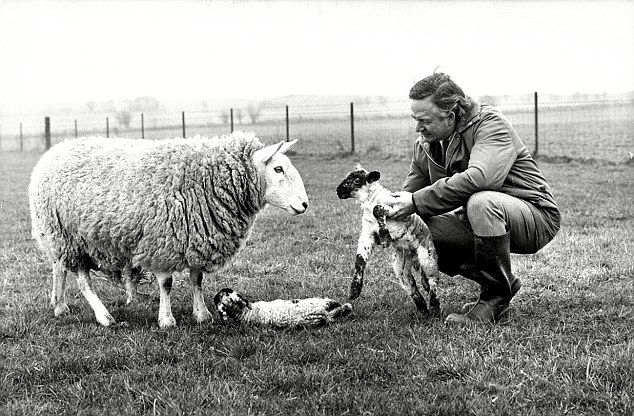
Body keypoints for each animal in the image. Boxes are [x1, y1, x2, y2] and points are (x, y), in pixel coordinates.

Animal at [29, 132, 308, 326]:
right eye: (278, 169)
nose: (305, 204)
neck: (208, 179)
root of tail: (53, 150)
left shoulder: (197, 238)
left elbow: (197, 279)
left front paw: (202, 315)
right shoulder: (163, 242)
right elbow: (167, 283)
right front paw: (166, 320)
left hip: (61, 237)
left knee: (58, 269)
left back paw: (60, 306)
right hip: (69, 238)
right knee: (83, 281)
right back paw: (104, 317)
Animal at [211, 288, 350, 326]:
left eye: (226, 293)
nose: (214, 297)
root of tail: (321, 314)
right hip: (318, 303)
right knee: (332, 306)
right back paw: (346, 306)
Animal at [336, 162, 440, 316]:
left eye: (357, 180)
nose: (338, 191)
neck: (370, 200)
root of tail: (414, 257)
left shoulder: (394, 208)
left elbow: (377, 209)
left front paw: (385, 237)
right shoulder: (368, 235)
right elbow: (360, 260)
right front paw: (354, 291)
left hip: (428, 256)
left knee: (433, 282)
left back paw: (434, 310)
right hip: (401, 265)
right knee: (411, 285)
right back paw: (423, 312)